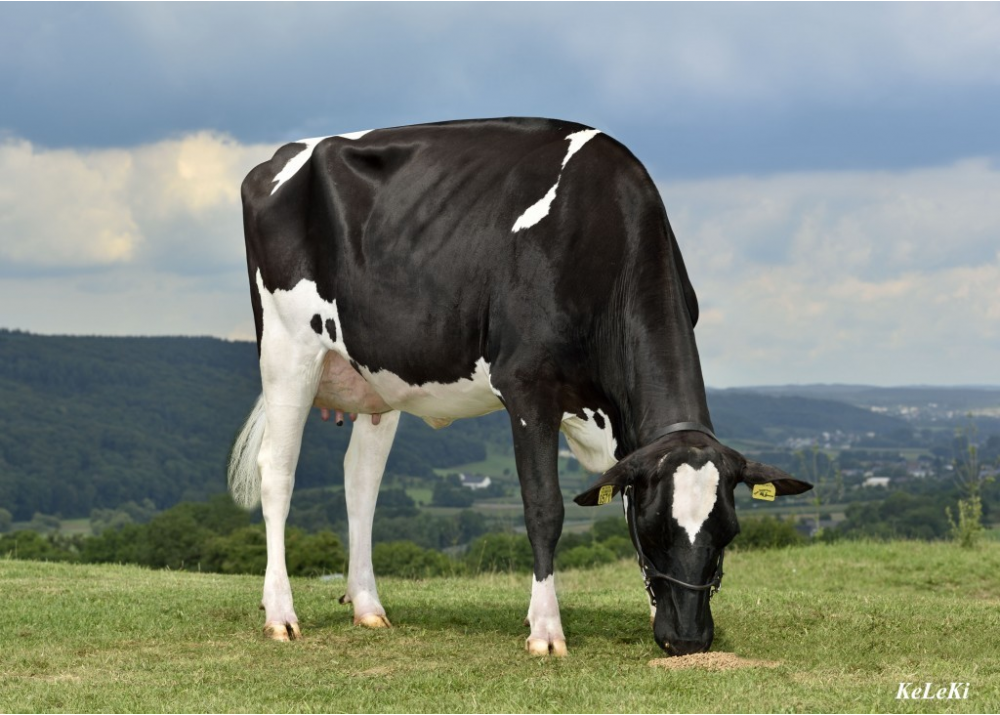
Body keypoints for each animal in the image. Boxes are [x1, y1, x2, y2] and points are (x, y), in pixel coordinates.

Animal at [229, 117, 812, 660]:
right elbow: (544, 509)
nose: (689, 639)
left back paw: (368, 605)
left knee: (360, 479)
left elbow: (619, 491)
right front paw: (546, 630)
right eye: (655, 530)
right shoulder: (528, 388)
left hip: (377, 375)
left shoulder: (625, 423)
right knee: (277, 472)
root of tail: (279, 157)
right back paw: (280, 614)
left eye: (729, 532)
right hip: (287, 348)